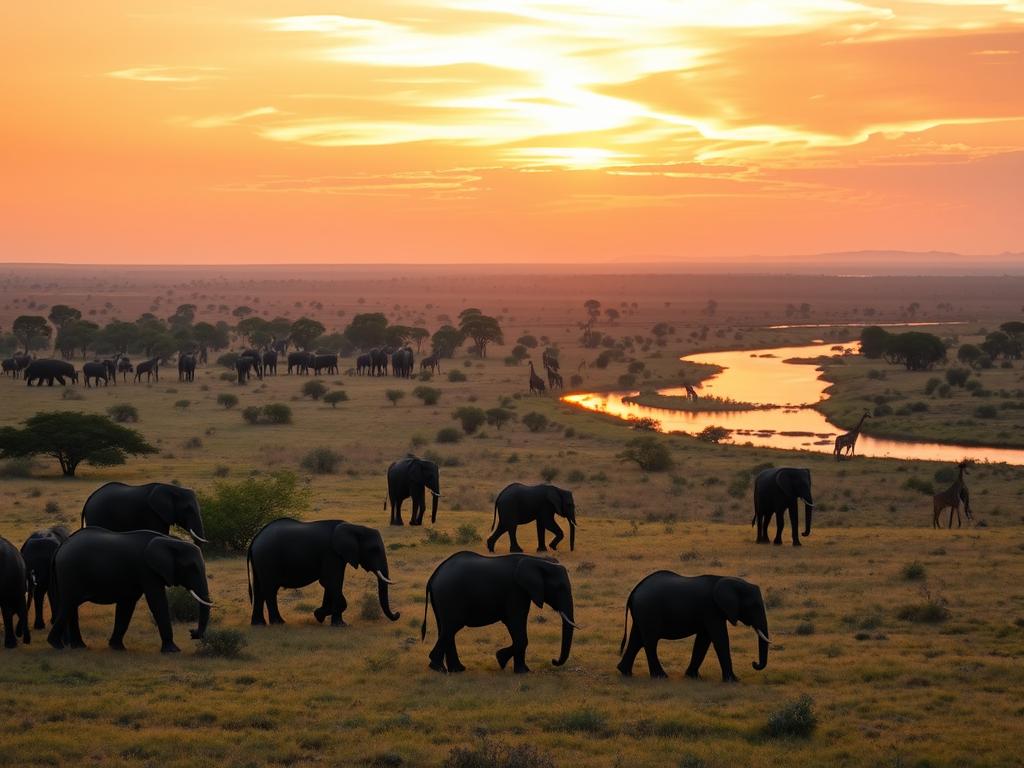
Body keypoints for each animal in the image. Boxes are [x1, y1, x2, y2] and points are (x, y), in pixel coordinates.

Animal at [47, 528, 211, 653]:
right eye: (191, 567)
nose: (192, 633)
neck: (169, 540)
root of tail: (61, 547)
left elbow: (127, 605)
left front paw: (117, 648)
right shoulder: (147, 570)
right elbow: (157, 601)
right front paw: (173, 651)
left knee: (71, 607)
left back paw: (79, 646)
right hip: (70, 572)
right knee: (68, 605)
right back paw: (57, 645)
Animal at [247, 518, 400, 626]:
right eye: (374, 549)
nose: (397, 614)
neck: (353, 527)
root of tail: (255, 539)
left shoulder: (338, 556)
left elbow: (332, 584)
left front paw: (323, 617)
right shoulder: (331, 553)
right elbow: (331, 582)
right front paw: (328, 619)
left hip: (260, 561)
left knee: (259, 590)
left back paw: (258, 624)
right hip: (267, 559)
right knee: (270, 589)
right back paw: (279, 623)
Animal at [421, 551, 578, 674]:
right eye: (559, 587)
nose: (554, 660)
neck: (536, 560)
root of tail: (433, 576)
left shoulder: (522, 592)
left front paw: (513, 665)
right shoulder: (515, 591)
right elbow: (516, 623)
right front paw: (507, 662)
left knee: (446, 629)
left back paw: (456, 669)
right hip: (450, 596)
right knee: (450, 627)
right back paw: (438, 668)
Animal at [617, 572, 770, 681]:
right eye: (754, 606)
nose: (754, 663)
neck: (725, 579)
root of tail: (634, 591)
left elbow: (703, 641)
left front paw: (693, 677)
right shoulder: (712, 610)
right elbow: (720, 639)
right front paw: (733, 681)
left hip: (642, 613)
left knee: (636, 640)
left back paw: (625, 672)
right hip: (649, 611)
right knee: (650, 642)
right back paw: (661, 676)